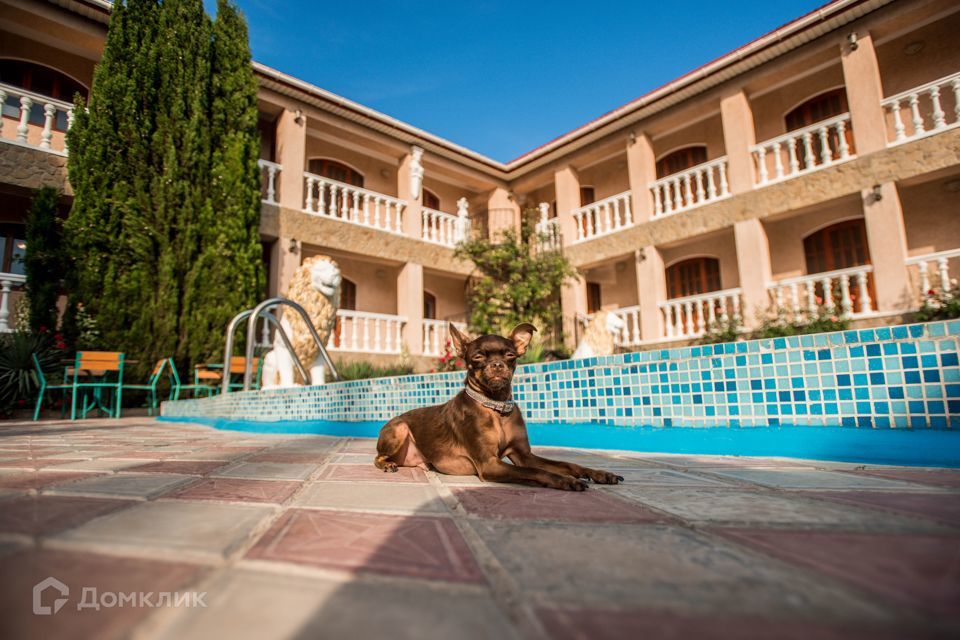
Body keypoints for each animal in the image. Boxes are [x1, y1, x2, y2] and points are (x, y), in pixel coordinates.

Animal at [376, 322, 624, 492]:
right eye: (477, 357)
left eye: (510, 355)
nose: (497, 364)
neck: (496, 407)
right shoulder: (489, 463)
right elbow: (536, 471)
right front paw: (565, 480)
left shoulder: (523, 455)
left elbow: (565, 463)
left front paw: (597, 473)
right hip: (399, 430)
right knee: (378, 457)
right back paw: (387, 465)